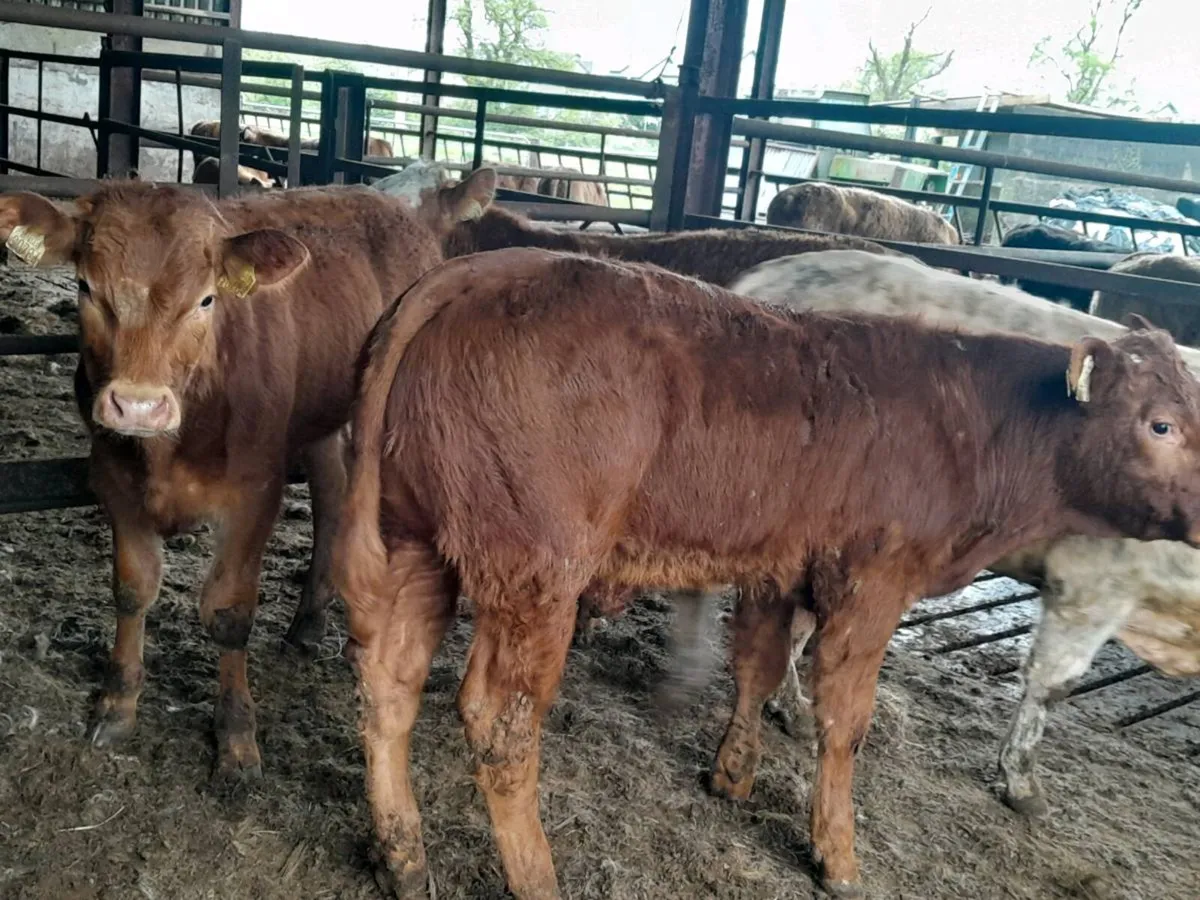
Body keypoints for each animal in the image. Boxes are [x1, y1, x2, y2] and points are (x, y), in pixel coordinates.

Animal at [0, 168, 497, 780]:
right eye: (87, 288)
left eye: (206, 298)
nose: (138, 405)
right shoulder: (114, 479)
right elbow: (132, 590)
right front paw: (117, 704)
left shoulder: (254, 492)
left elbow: (231, 614)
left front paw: (236, 736)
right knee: (331, 496)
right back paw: (307, 624)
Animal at [333, 245, 1200, 899]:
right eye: (1161, 424)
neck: (966, 415)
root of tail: (473, 273)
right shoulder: (875, 585)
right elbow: (844, 720)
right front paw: (836, 854)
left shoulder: (776, 570)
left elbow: (755, 663)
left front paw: (733, 776)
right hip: (534, 579)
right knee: (499, 724)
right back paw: (535, 877)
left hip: (413, 550)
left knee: (388, 687)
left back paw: (403, 857)